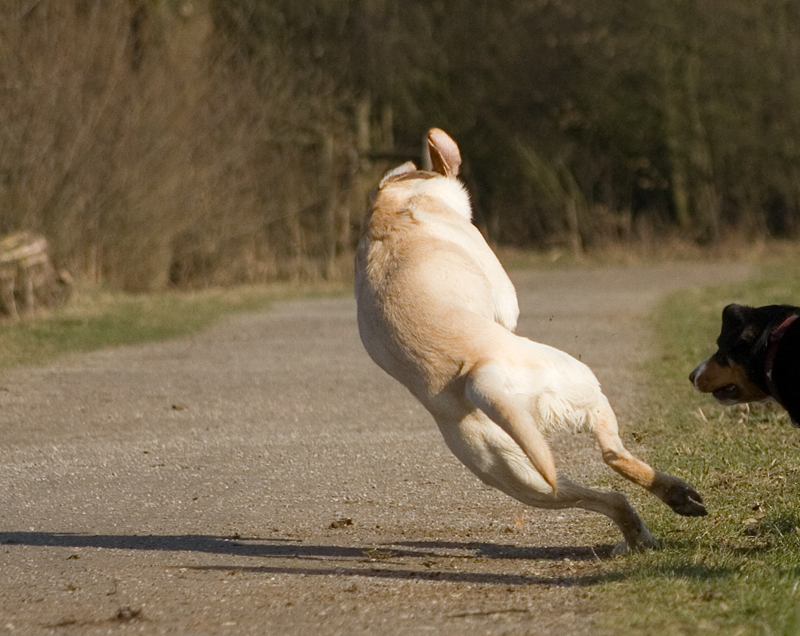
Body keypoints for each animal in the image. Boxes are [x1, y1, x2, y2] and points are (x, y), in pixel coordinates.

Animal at [356, 129, 708, 552]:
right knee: (612, 454)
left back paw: (642, 528)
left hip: (518, 474)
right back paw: (674, 496)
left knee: (603, 496)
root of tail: (479, 378)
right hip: (579, 383)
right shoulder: (505, 297)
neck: (391, 202)